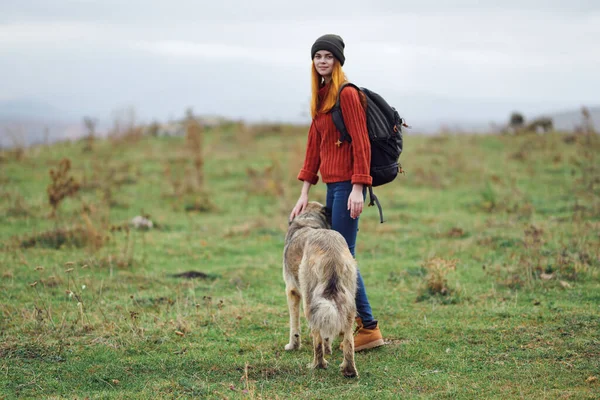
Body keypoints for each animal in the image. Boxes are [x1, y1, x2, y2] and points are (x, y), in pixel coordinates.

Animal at [282, 203, 356, 378]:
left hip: (309, 301)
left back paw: (317, 365)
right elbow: (326, 332)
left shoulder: (292, 291)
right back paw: (349, 369)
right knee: (348, 338)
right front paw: (328, 348)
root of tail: (331, 250)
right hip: (348, 300)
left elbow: (294, 325)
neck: (309, 219)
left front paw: (292, 346)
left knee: (316, 335)